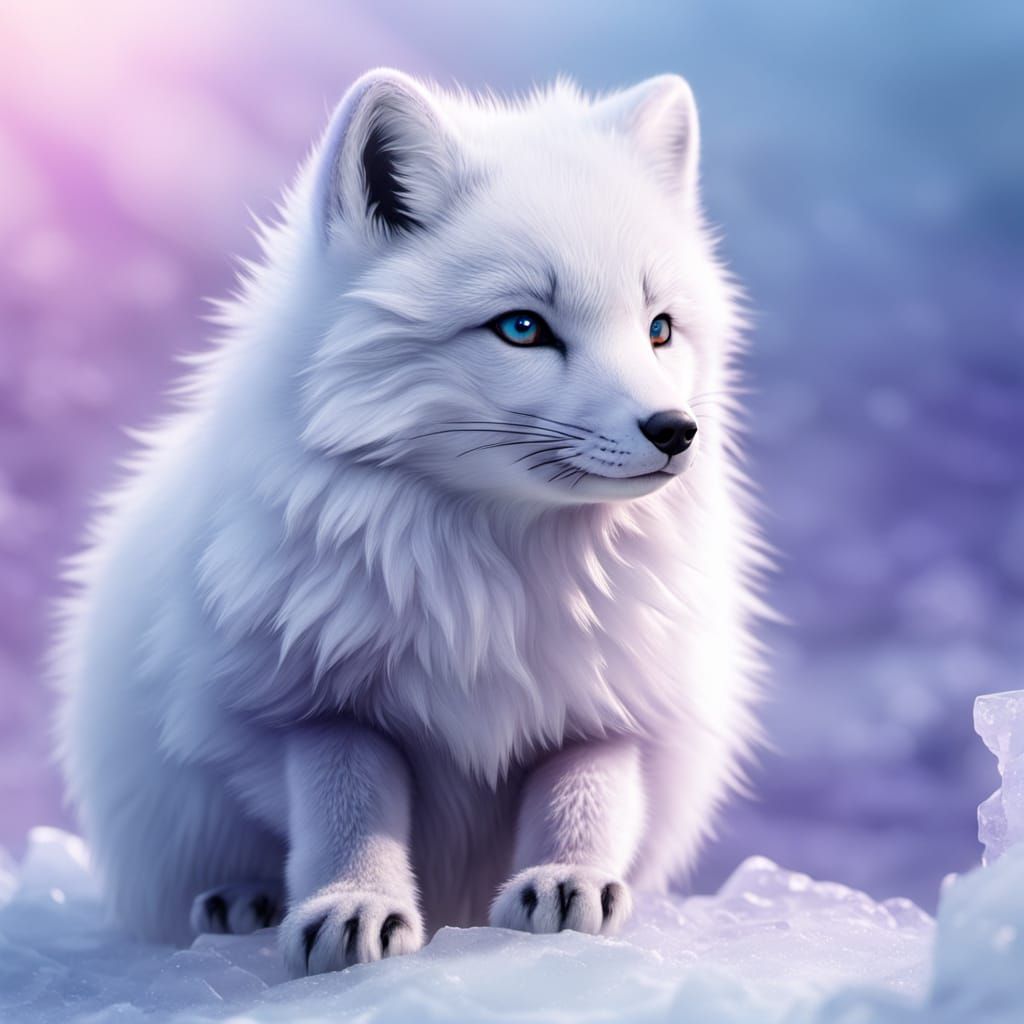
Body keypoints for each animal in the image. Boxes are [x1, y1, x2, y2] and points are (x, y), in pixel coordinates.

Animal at [55, 68, 769, 977]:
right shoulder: (314, 704)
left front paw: (569, 882)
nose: (676, 430)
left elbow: (585, 795)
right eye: (523, 328)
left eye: (659, 329)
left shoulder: (613, 706)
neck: (498, 582)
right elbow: (348, 806)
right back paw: (241, 903)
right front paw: (353, 905)